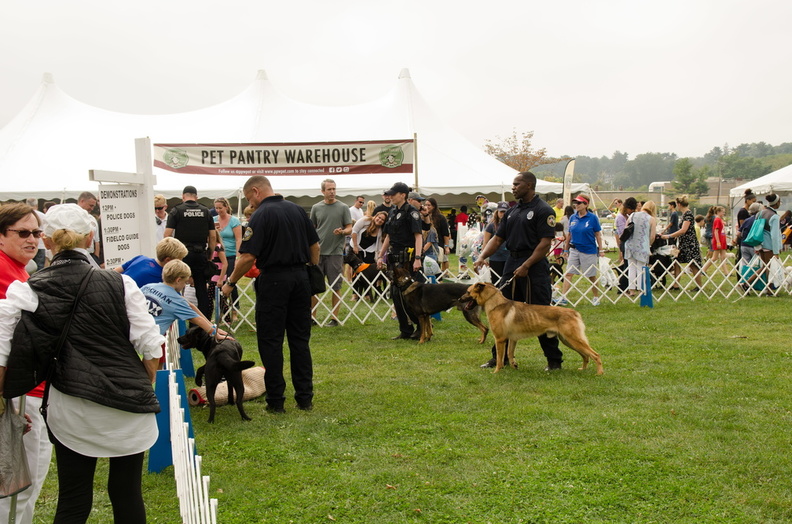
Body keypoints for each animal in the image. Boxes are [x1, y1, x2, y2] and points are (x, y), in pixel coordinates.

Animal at [458, 284, 600, 374]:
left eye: (468, 292)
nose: (459, 299)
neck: (495, 303)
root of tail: (574, 312)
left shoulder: (500, 339)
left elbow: (499, 359)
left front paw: (496, 372)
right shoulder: (512, 340)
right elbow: (510, 354)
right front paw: (514, 367)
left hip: (573, 340)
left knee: (595, 355)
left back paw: (599, 373)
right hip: (569, 341)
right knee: (586, 356)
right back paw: (583, 370)